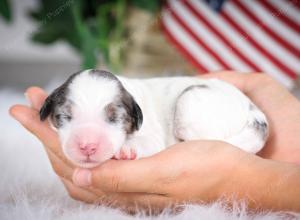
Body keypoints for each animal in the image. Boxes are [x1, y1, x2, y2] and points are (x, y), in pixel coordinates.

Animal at [39, 69, 268, 168]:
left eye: (115, 118)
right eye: (65, 116)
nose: (87, 146)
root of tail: (254, 112)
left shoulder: (153, 134)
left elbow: (147, 141)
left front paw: (126, 149)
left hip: (190, 103)